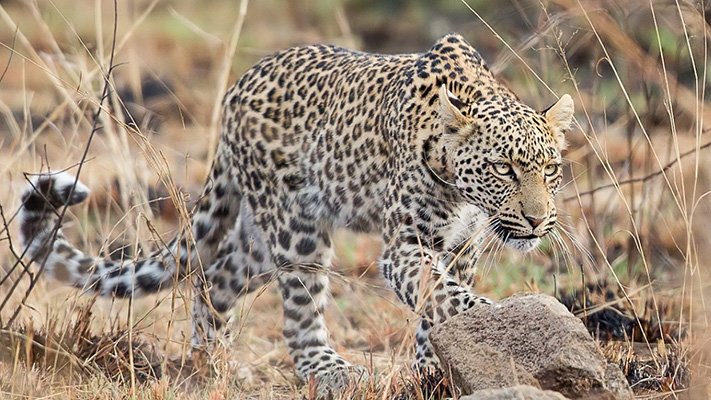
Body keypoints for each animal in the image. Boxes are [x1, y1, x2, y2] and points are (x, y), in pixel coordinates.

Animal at [19, 33, 576, 390]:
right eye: (503, 168)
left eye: (550, 169)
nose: (537, 221)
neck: (463, 190)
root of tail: (237, 87)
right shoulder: (406, 245)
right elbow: (443, 294)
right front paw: (501, 321)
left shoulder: (461, 245)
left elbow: (435, 305)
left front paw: (434, 369)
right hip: (295, 227)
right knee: (300, 308)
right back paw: (327, 370)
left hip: (261, 240)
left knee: (216, 277)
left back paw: (210, 364)